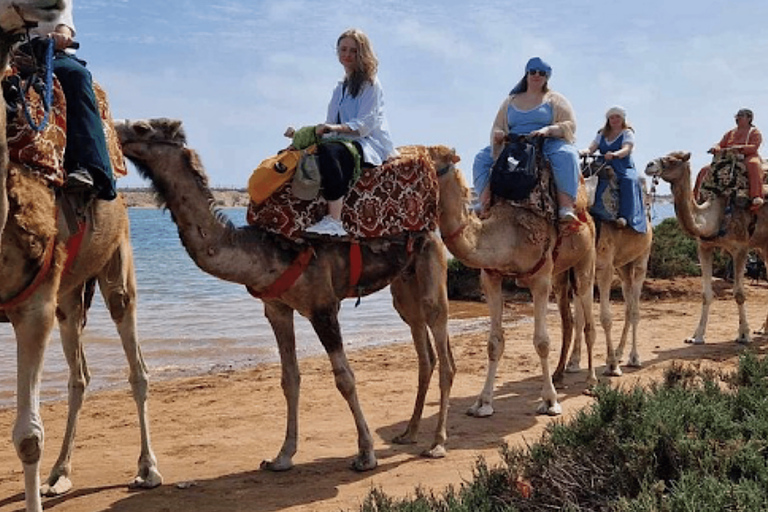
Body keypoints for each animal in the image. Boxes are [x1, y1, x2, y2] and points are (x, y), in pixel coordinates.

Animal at [0, 5, 162, 512]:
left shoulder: (31, 307)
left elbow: (28, 436)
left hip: (117, 268)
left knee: (137, 369)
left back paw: (147, 469)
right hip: (69, 294)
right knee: (80, 377)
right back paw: (60, 474)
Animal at [114, 117, 456, 472]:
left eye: (142, 127)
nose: (115, 131)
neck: (265, 250)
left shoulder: (323, 307)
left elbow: (345, 378)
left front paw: (366, 454)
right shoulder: (276, 308)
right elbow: (289, 379)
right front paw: (282, 456)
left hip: (430, 261)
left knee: (444, 352)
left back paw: (437, 443)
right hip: (405, 284)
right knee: (426, 354)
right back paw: (409, 432)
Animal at [432, 146, 600, 418]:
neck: (507, 232)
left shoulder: (540, 280)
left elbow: (542, 342)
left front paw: (550, 401)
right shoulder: (490, 277)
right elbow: (494, 342)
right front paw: (483, 403)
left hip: (586, 259)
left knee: (588, 321)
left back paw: (592, 381)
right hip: (560, 275)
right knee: (568, 320)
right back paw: (559, 374)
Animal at [640, 152, 768, 344]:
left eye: (672, 160)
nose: (649, 165)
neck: (716, 217)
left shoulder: (741, 249)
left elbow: (739, 294)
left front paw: (744, 335)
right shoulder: (704, 247)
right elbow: (706, 294)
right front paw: (696, 336)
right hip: (763, 247)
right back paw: (763, 329)